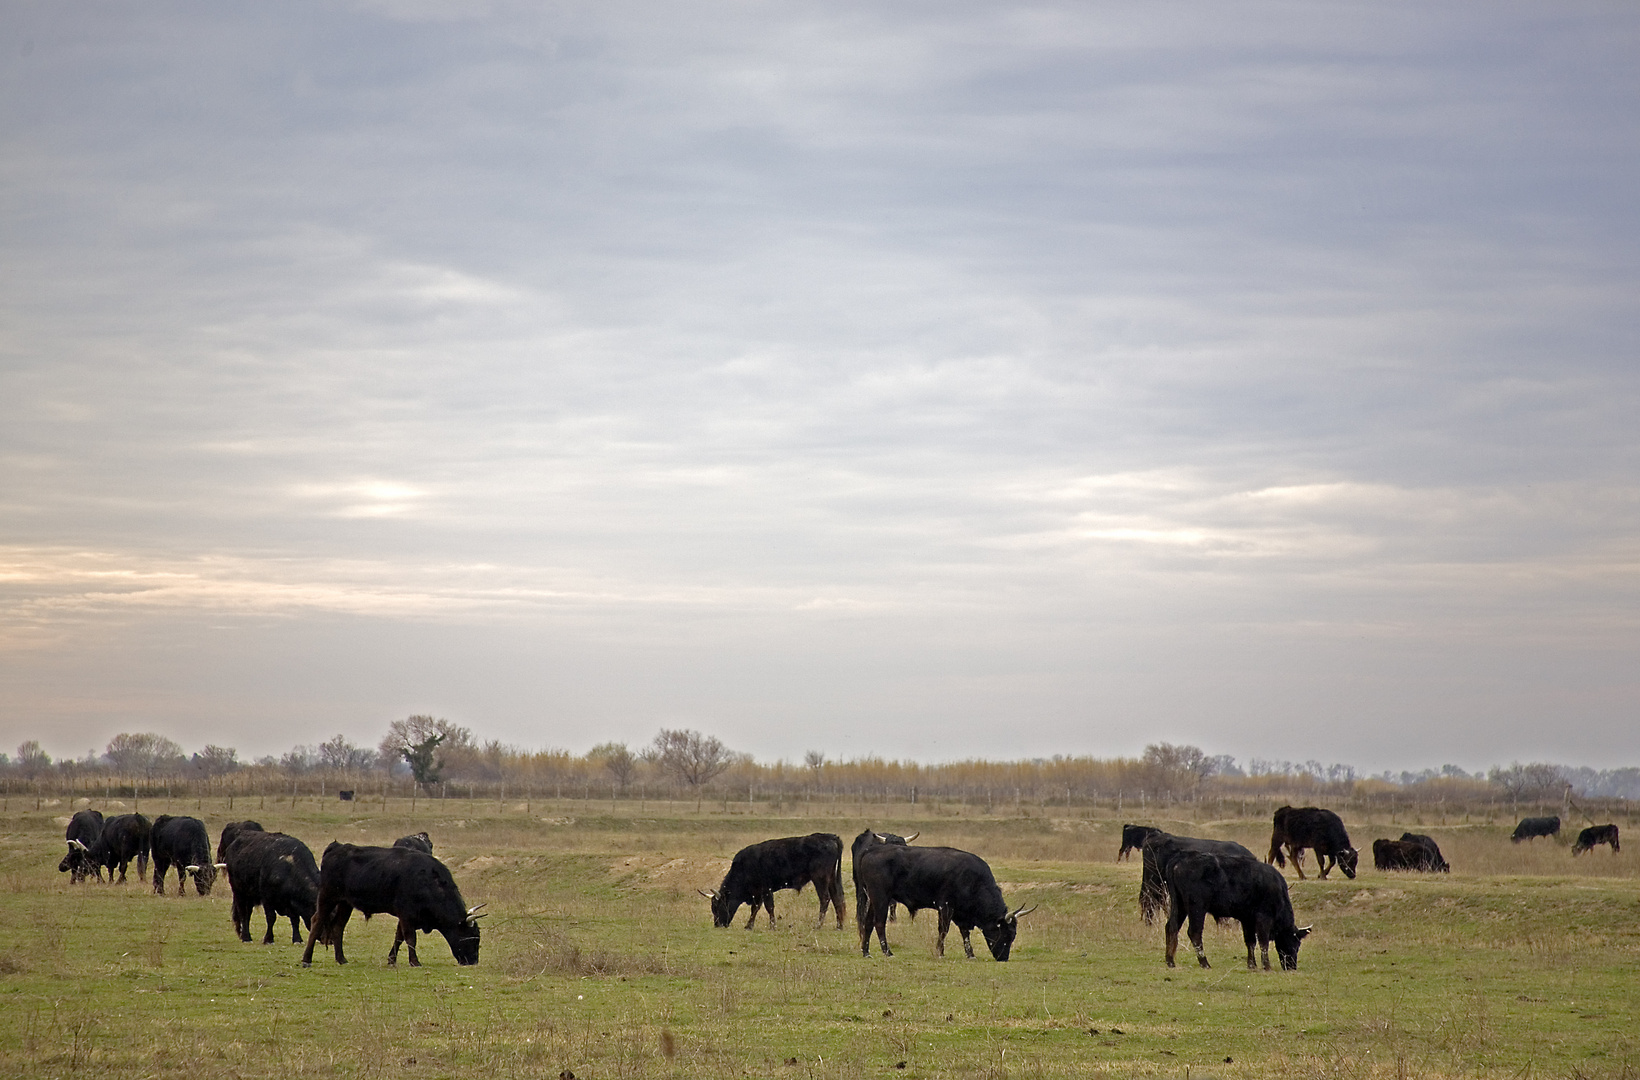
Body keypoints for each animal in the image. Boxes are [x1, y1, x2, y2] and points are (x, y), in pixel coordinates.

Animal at [698, 835, 846, 930]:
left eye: (717, 906)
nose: (718, 925)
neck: (743, 867)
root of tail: (831, 837)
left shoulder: (766, 889)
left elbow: (768, 907)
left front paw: (772, 926)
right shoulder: (757, 893)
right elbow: (755, 908)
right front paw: (749, 925)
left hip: (820, 879)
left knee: (825, 899)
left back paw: (818, 925)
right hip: (832, 879)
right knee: (837, 899)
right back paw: (839, 925)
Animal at [852, 845, 1029, 963]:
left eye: (1014, 934)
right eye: (1007, 933)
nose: (1004, 958)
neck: (974, 880)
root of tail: (871, 850)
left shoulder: (961, 913)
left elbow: (965, 933)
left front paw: (970, 954)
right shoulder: (945, 906)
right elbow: (943, 930)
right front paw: (940, 952)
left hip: (873, 900)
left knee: (868, 923)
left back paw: (866, 952)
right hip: (881, 898)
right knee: (879, 923)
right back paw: (887, 951)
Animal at [1167, 852, 1305, 970]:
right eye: (1296, 944)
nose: (1292, 967)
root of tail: (1182, 857)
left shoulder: (1247, 919)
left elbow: (1250, 941)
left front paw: (1252, 965)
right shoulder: (1263, 918)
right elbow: (1263, 942)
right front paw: (1266, 966)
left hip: (1180, 905)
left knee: (1171, 927)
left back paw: (1170, 961)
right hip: (1197, 908)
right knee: (1194, 932)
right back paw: (1204, 963)